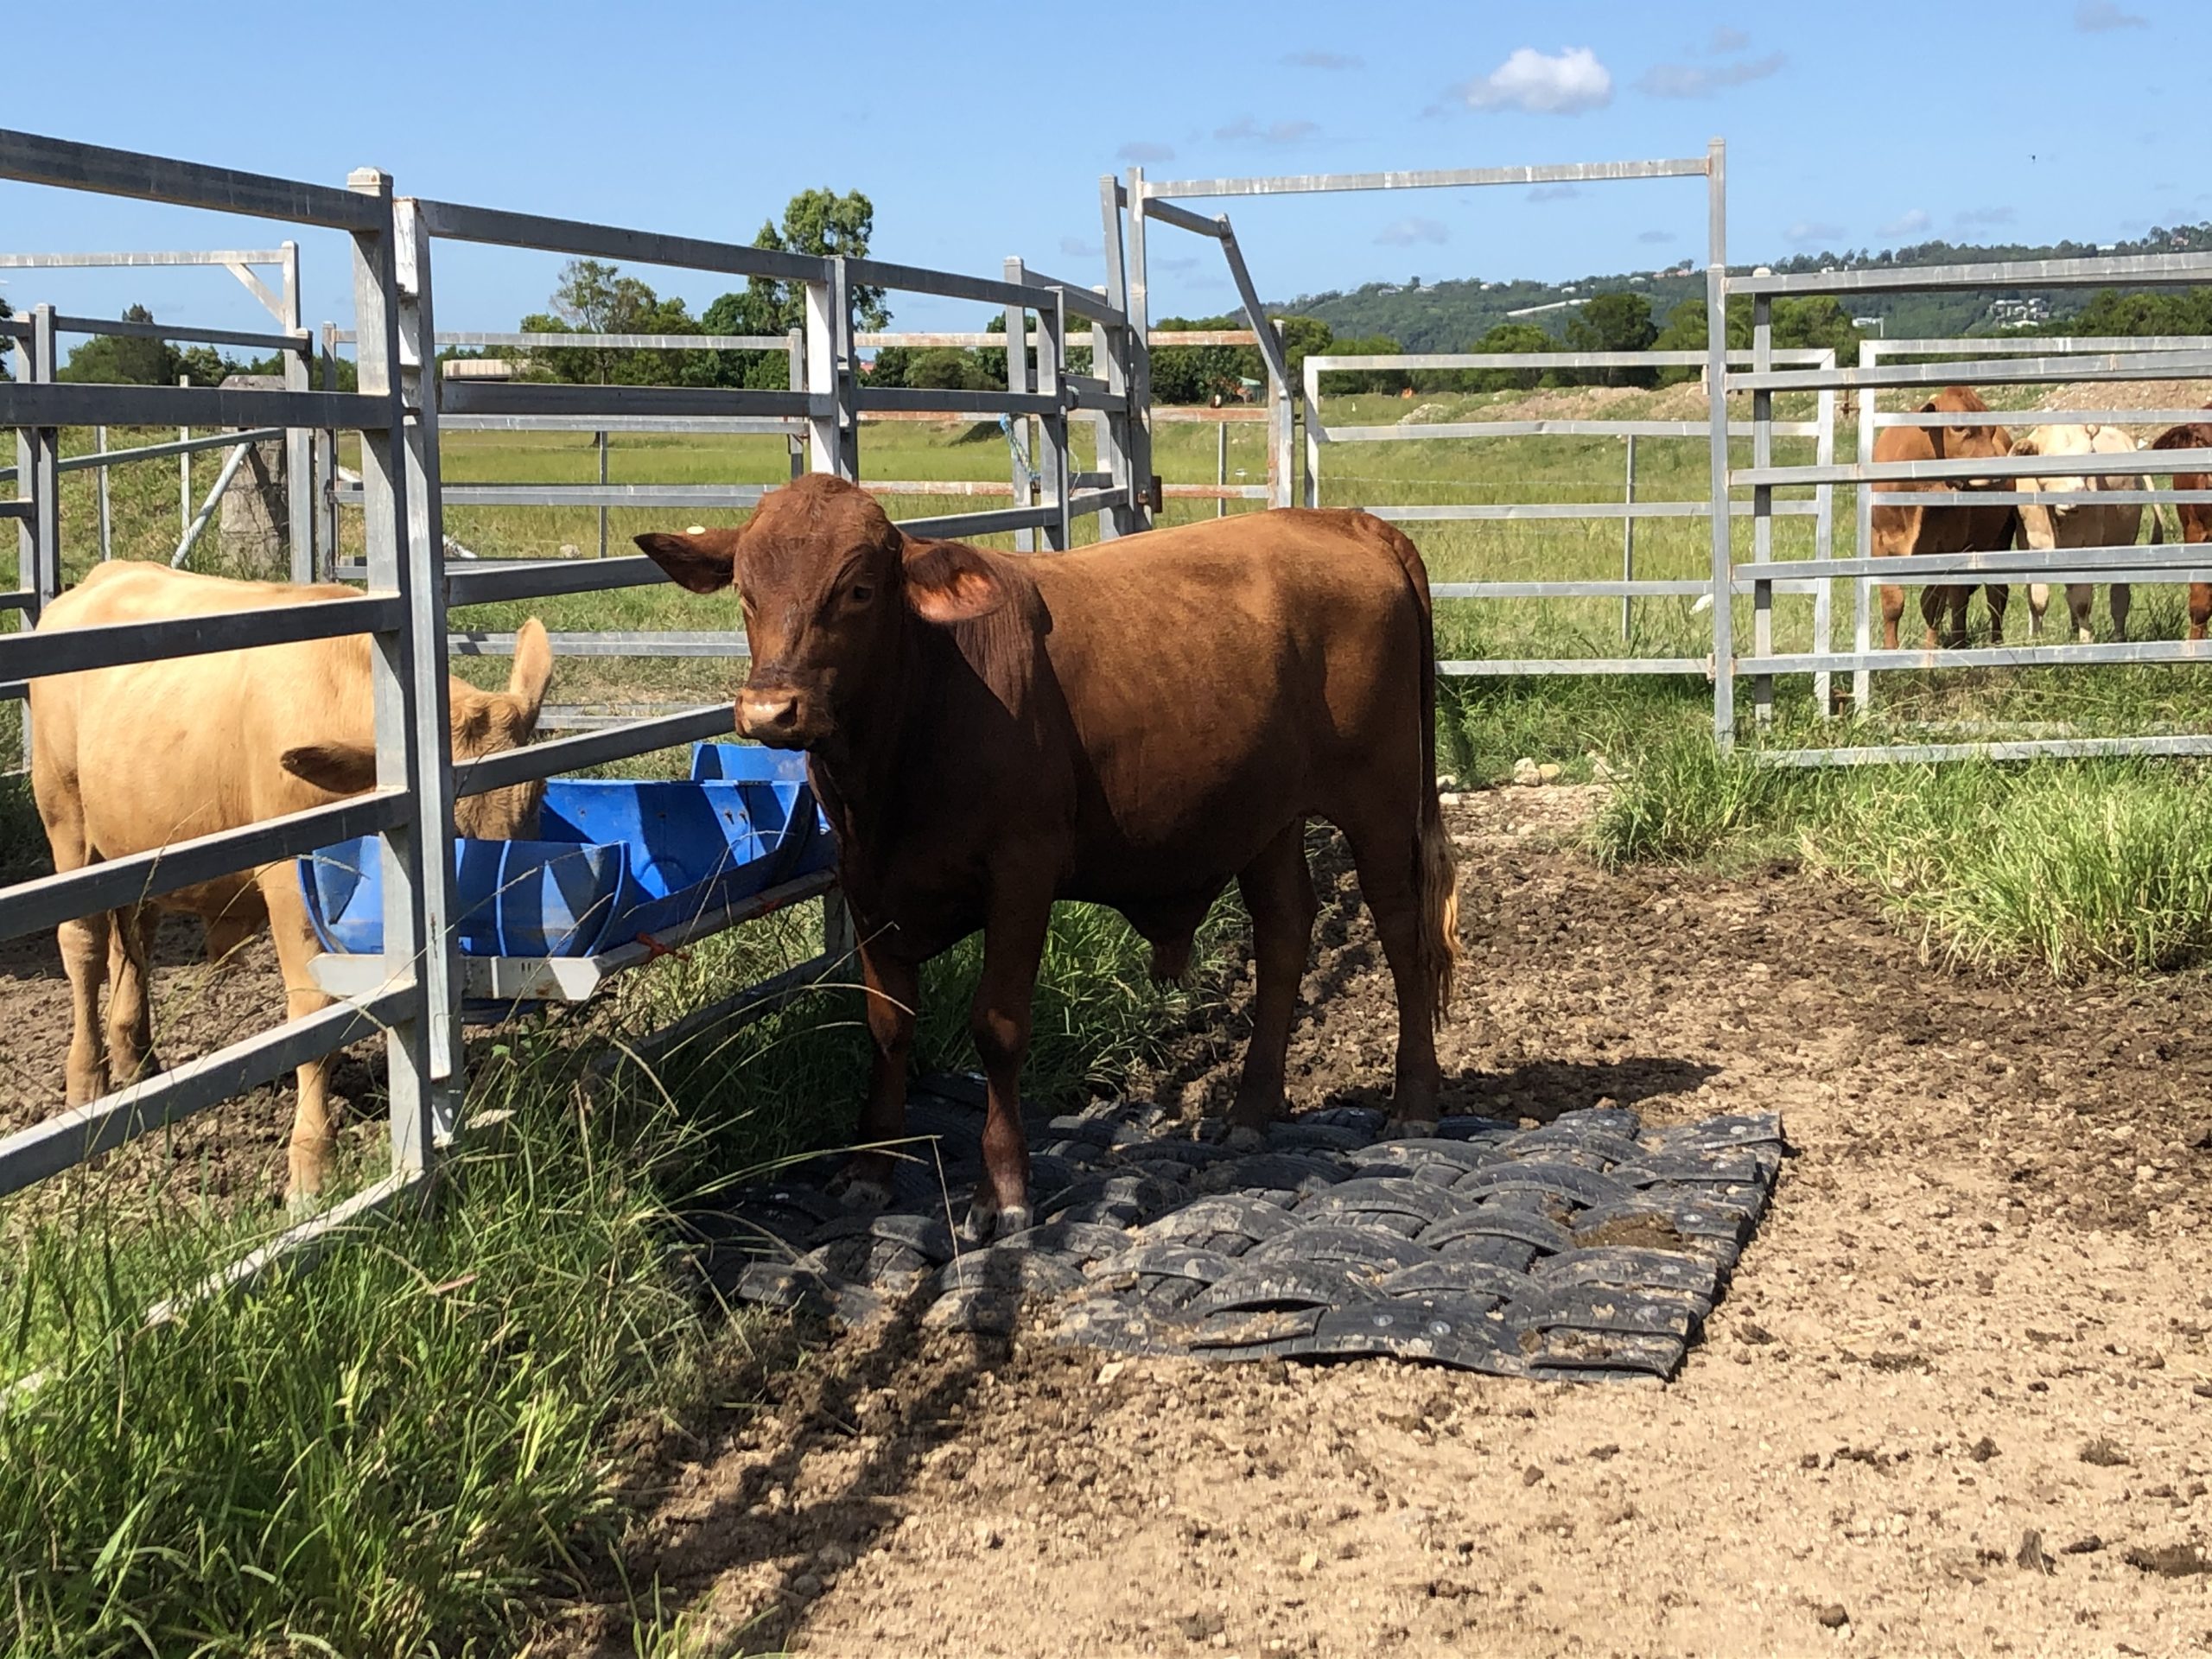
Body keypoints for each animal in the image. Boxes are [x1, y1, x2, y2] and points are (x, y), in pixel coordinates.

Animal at [28, 562, 555, 1206]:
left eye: (536, 798)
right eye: (442, 831)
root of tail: (106, 575)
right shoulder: (289, 888)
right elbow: (314, 1011)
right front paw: (312, 1162)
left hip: (137, 839)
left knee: (136, 934)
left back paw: (135, 1055)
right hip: (65, 815)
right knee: (83, 943)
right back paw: (87, 1082)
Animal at [634, 475, 1459, 1238]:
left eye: (860, 588)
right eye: (746, 593)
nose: (770, 712)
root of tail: (1342, 522)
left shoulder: (1021, 875)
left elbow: (998, 1028)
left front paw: (1001, 1190)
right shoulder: (866, 884)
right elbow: (888, 1026)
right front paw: (870, 1169)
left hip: (1381, 799)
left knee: (1402, 934)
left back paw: (1414, 1104)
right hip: (1265, 817)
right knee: (1284, 932)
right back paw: (1251, 1110)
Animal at [1869, 386, 2018, 649]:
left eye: (1990, 428)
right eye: (1958, 427)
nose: (1997, 474)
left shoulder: (1945, 549)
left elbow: (1933, 604)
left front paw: (1930, 650)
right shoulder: (1880, 544)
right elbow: (1893, 603)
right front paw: (1890, 649)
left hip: (1998, 540)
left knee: (1993, 594)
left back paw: (1990, 643)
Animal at [2010, 423, 2154, 643]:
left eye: (2090, 454)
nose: (2078, 493)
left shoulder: (2086, 545)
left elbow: (2082, 602)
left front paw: (2086, 639)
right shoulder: (2032, 544)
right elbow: (2037, 599)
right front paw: (2036, 639)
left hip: (2124, 539)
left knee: (2119, 595)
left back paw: (2118, 637)